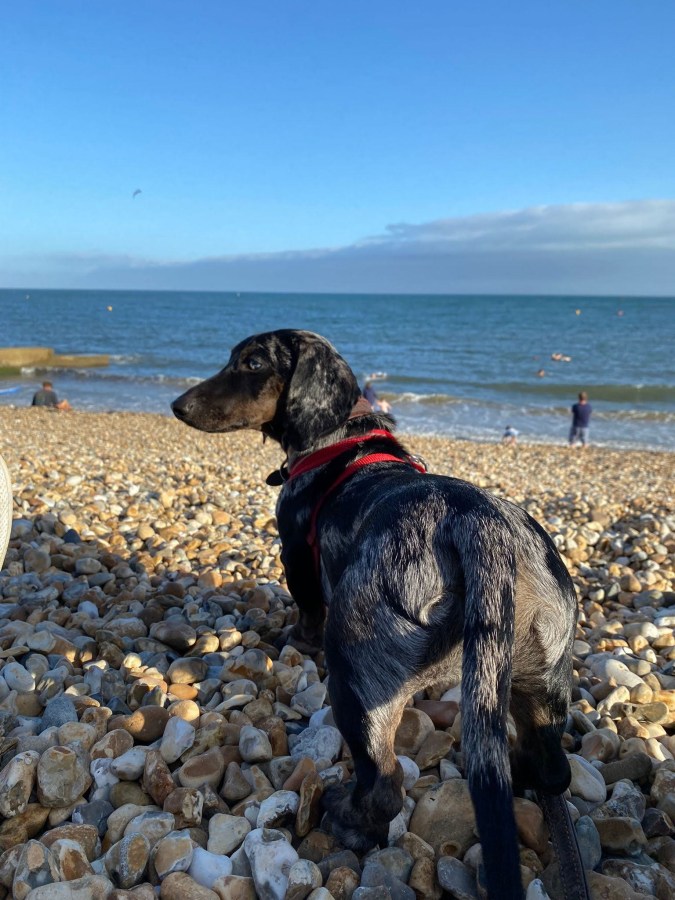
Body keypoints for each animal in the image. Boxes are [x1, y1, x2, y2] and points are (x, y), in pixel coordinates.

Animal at [173, 329, 589, 900]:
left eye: (251, 362)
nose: (177, 406)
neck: (340, 437)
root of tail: (480, 528)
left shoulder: (296, 555)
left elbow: (306, 608)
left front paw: (295, 640)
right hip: (544, 677)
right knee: (551, 766)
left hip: (357, 679)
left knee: (385, 786)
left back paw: (346, 820)